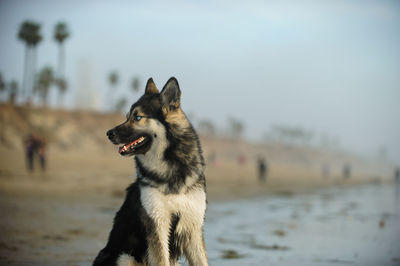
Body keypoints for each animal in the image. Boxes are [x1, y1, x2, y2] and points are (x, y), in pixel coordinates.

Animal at [92, 77, 208, 266]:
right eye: (127, 117)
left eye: (137, 117)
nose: (109, 133)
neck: (170, 166)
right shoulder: (157, 225)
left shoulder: (193, 227)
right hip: (125, 256)